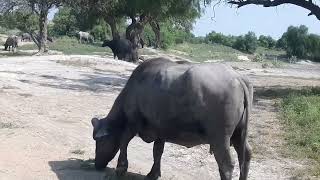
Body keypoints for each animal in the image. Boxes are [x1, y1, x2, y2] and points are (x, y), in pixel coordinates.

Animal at [91, 57, 254, 180]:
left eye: (99, 140)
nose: (97, 164)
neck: (134, 89)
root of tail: (237, 78)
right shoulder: (160, 130)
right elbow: (157, 151)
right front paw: (153, 173)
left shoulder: (133, 123)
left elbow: (124, 142)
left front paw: (121, 168)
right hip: (239, 134)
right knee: (245, 155)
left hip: (220, 137)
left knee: (226, 165)